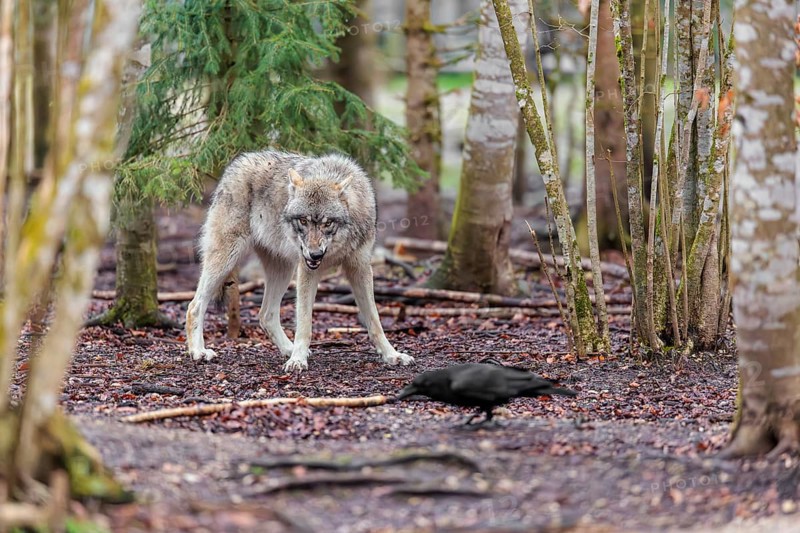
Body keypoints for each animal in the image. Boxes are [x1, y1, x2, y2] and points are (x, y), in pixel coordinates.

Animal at [185, 150, 415, 372]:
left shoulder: (360, 269)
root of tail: (236, 163)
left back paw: (288, 348)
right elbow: (304, 324)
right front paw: (297, 361)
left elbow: (375, 321)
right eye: (303, 221)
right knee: (195, 305)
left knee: (266, 315)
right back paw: (198, 351)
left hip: (282, 270)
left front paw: (392, 355)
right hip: (225, 259)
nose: (314, 255)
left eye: (327, 223)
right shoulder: (307, 271)